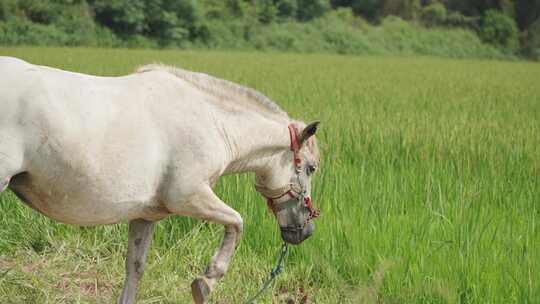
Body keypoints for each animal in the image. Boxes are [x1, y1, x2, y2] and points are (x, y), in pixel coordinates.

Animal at [0, 56, 320, 302]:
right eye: (311, 168)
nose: (305, 231)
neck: (214, 123)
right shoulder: (189, 196)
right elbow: (237, 222)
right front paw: (206, 282)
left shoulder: (146, 215)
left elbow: (135, 267)